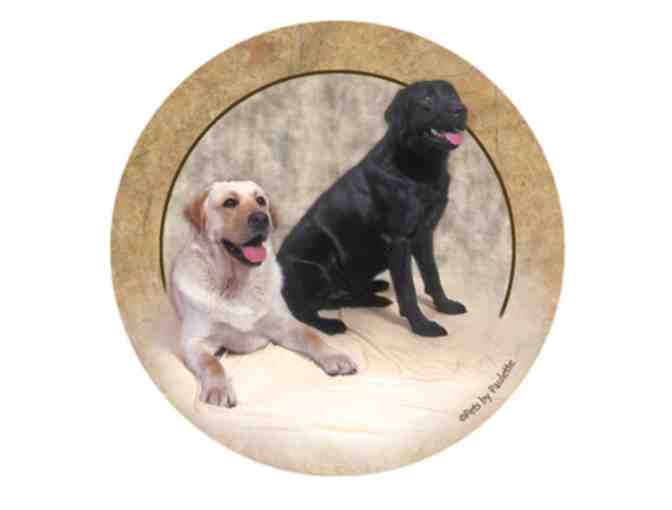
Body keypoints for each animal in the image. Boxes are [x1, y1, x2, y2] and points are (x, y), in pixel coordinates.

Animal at [169, 180, 357, 407]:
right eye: (229, 202)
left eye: (260, 200)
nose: (261, 218)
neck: (237, 282)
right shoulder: (193, 341)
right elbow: (211, 362)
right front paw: (219, 388)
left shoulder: (284, 324)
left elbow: (311, 336)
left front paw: (334, 356)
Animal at [277, 80, 468, 338]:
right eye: (427, 99)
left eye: (453, 94)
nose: (460, 110)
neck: (420, 168)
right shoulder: (398, 239)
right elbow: (407, 289)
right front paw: (422, 326)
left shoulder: (424, 232)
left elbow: (432, 274)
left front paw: (445, 305)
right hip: (319, 259)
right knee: (302, 310)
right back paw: (331, 324)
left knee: (341, 296)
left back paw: (376, 294)